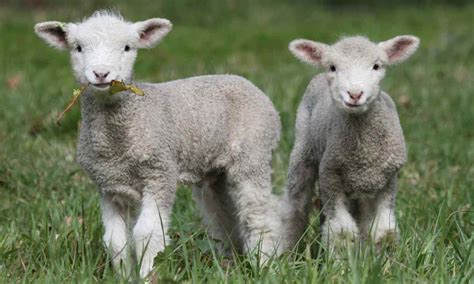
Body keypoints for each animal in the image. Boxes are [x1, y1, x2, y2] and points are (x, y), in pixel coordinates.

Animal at [35, 10, 284, 278]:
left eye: (127, 47)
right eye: (78, 48)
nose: (101, 74)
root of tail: (245, 82)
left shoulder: (160, 173)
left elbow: (147, 233)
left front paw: (147, 275)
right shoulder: (108, 186)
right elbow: (115, 240)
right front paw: (124, 277)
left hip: (253, 153)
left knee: (258, 214)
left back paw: (265, 265)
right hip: (214, 171)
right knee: (222, 216)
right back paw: (231, 263)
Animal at [282, 35, 418, 248]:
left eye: (377, 66)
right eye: (332, 67)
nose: (355, 94)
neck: (364, 155)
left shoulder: (388, 182)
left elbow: (384, 231)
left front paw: (385, 256)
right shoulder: (330, 178)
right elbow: (341, 233)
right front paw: (342, 257)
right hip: (303, 150)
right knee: (295, 204)